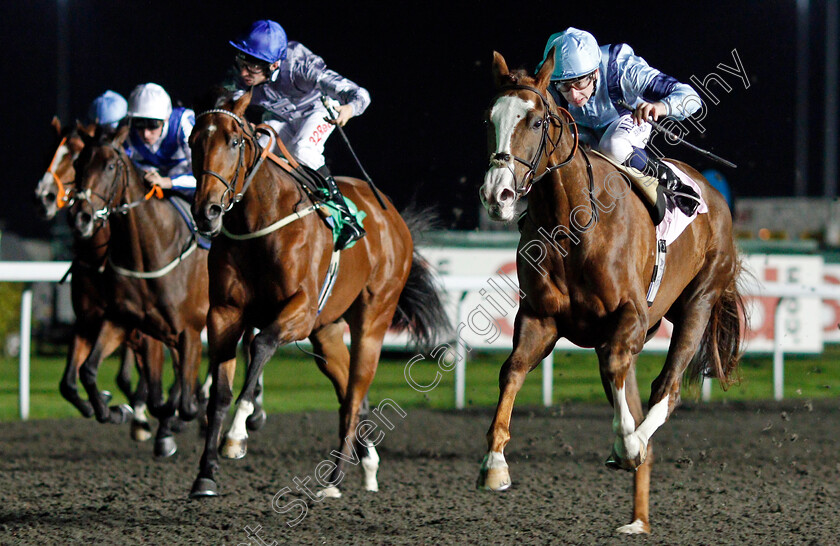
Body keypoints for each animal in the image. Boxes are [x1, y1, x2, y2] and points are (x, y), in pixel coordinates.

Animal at [71, 127, 212, 454]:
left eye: (110, 165)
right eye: (77, 165)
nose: (81, 217)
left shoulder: (189, 330)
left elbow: (182, 401)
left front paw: (174, 423)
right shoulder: (123, 321)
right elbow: (89, 371)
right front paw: (116, 411)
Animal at [187, 90, 450, 498]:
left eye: (233, 141)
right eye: (193, 141)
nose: (207, 210)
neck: (260, 223)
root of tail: (393, 217)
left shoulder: (301, 309)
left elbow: (262, 344)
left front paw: (236, 435)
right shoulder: (225, 312)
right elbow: (219, 393)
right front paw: (205, 474)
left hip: (372, 318)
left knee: (355, 394)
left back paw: (334, 479)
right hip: (326, 332)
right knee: (347, 392)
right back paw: (367, 465)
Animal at [476, 52, 744, 532]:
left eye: (536, 120)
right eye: (490, 118)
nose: (497, 194)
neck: (574, 222)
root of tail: (713, 194)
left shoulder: (631, 315)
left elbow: (615, 364)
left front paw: (628, 445)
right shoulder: (540, 317)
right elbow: (513, 370)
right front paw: (494, 463)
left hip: (698, 302)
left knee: (667, 386)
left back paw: (637, 450)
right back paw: (637, 519)